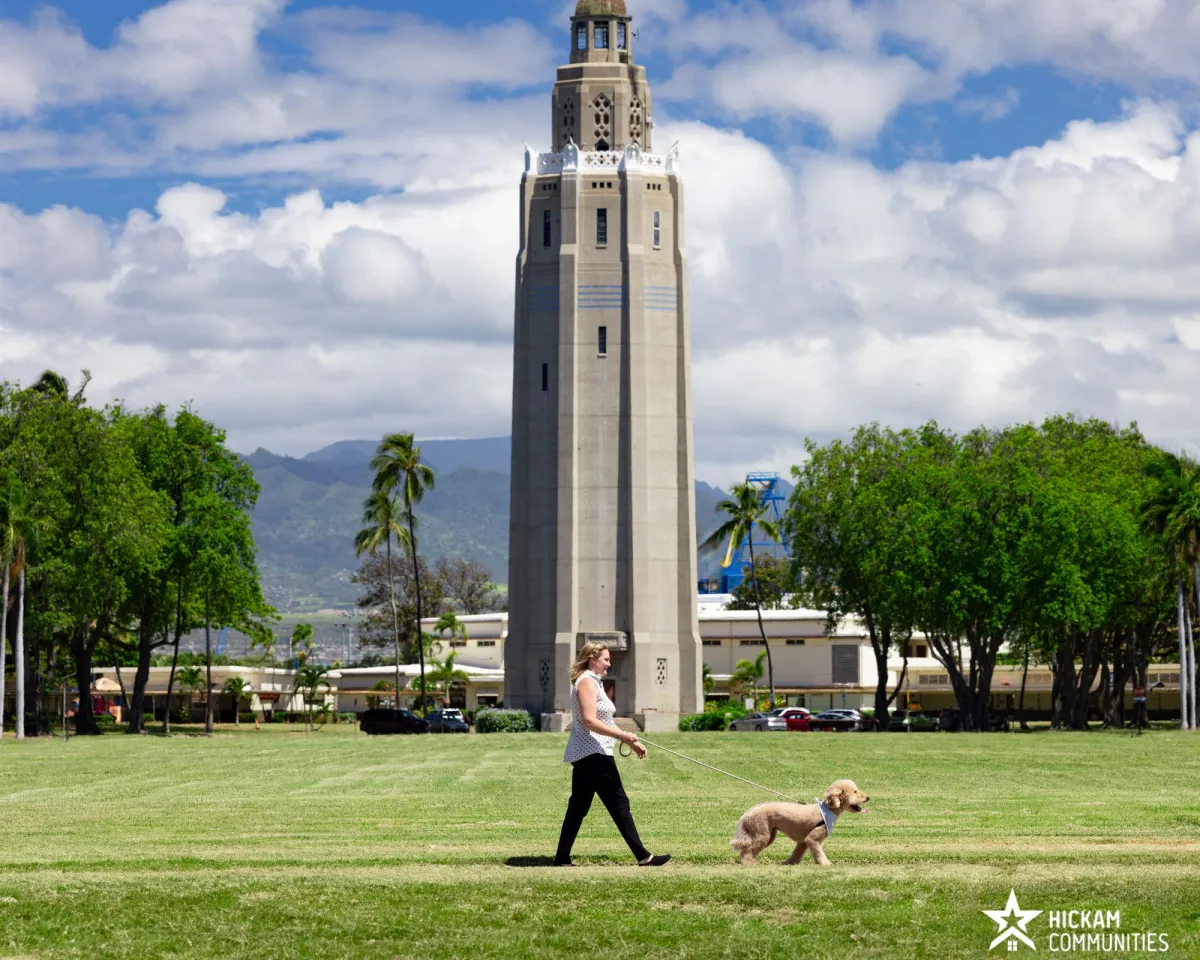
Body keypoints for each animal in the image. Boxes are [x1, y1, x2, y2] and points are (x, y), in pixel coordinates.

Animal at [724, 777, 868, 864]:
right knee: (746, 851)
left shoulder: (803, 841)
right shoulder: (813, 838)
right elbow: (819, 852)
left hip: (767, 835)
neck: (828, 809)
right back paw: (749, 863)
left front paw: (789, 863)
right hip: (761, 833)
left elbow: (797, 853)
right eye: (855, 791)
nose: (868, 797)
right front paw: (826, 864)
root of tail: (747, 814)